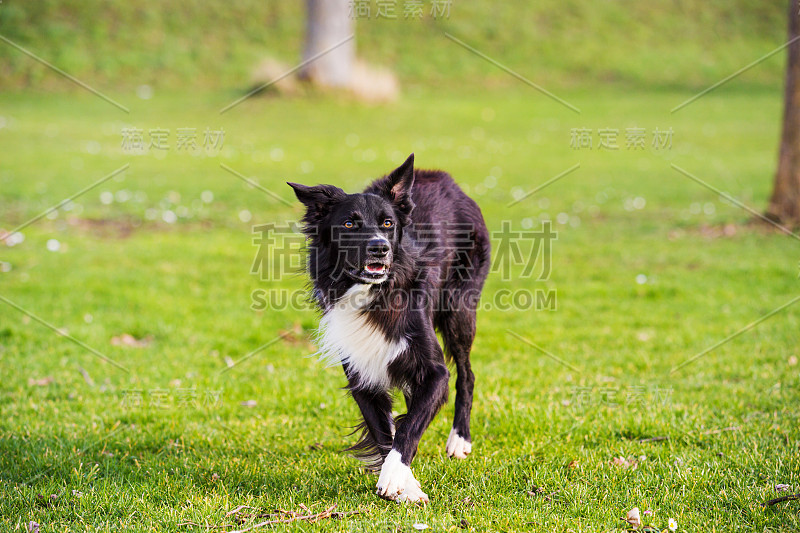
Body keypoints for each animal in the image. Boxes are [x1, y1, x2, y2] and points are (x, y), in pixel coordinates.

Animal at [288, 155, 488, 502]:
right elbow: (385, 432)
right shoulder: (361, 373)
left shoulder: (435, 372)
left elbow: (408, 428)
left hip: (460, 310)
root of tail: (441, 177)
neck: (373, 292)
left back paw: (459, 439)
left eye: (387, 224)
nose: (380, 248)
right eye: (349, 224)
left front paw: (395, 478)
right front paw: (406, 485)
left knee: (467, 374)